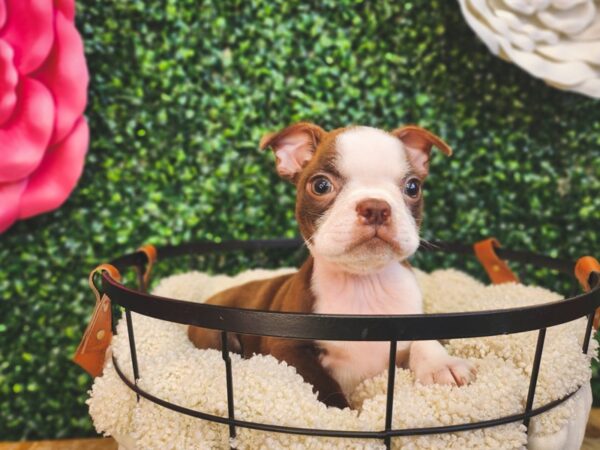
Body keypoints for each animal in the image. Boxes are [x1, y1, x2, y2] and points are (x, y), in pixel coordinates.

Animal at [190, 123, 476, 408]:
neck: (364, 282)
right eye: (321, 185)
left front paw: (442, 364)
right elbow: (324, 387)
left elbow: (424, 341)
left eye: (413, 187)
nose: (375, 207)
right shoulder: (287, 347)